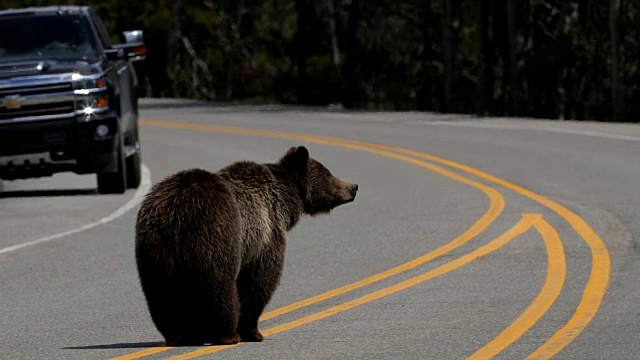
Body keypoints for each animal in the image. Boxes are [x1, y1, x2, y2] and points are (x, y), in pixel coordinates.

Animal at [134, 146, 358, 346]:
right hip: (216, 236)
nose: (353, 187)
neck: (284, 202)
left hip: (155, 248)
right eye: (328, 173)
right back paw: (226, 334)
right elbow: (259, 281)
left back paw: (178, 335)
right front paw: (253, 331)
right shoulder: (266, 235)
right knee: (218, 286)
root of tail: (177, 209)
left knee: (162, 292)